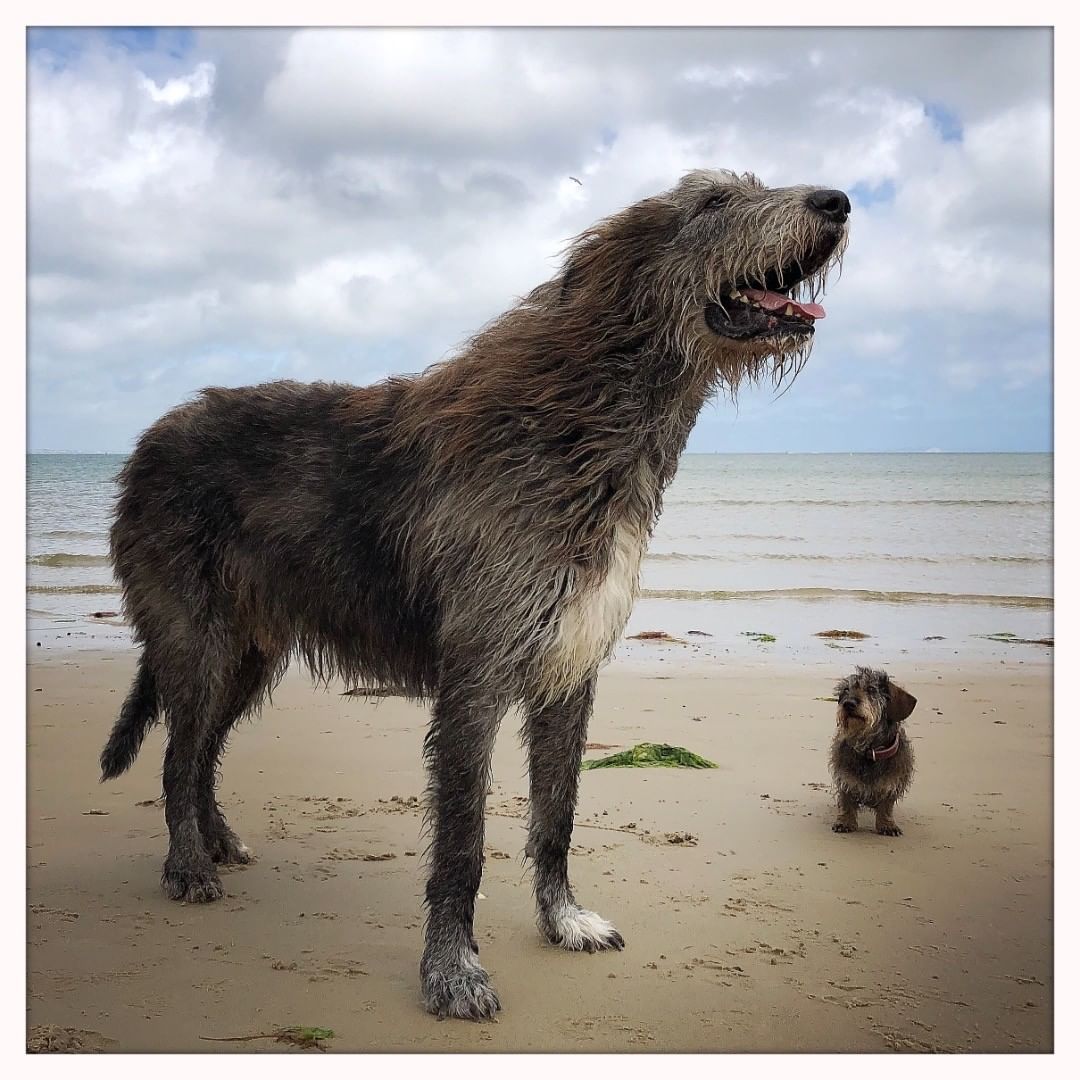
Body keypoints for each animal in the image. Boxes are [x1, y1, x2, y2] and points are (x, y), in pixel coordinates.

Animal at [101, 170, 851, 1019]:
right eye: (714, 201)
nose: (837, 202)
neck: (579, 424)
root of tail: (147, 441)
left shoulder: (570, 669)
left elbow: (557, 813)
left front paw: (565, 919)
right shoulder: (477, 676)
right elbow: (461, 846)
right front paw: (452, 971)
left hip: (252, 650)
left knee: (202, 752)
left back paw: (219, 841)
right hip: (195, 635)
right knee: (178, 753)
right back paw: (189, 866)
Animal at [829, 665, 915, 833]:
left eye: (871, 689)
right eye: (846, 690)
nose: (848, 704)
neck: (870, 750)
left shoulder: (893, 781)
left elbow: (886, 805)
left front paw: (887, 824)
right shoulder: (845, 777)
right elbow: (847, 802)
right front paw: (845, 822)